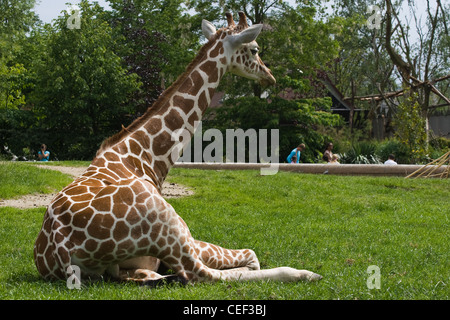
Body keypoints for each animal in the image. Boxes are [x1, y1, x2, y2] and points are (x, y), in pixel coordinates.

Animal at [33, 11, 322, 284]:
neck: (143, 158)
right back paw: (303, 273)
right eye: (254, 49)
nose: (269, 77)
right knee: (200, 274)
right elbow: (251, 257)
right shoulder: (184, 235)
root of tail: (62, 248)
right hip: (169, 227)